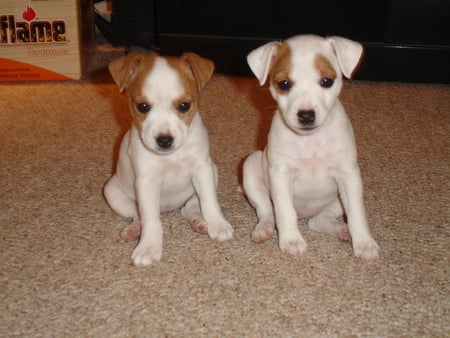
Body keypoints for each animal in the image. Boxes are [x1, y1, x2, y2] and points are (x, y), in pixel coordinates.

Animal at [103, 52, 234, 266]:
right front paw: (149, 247)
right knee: (138, 216)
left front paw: (218, 224)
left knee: (190, 208)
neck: (172, 156)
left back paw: (200, 222)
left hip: (212, 173)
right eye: (142, 107)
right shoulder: (147, 182)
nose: (164, 140)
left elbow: (209, 202)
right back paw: (133, 230)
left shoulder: (202, 169)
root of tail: (167, 208)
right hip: (113, 193)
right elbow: (150, 220)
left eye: (184, 106)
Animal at [243, 34, 380, 260]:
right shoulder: (280, 174)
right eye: (284, 84)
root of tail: (305, 214)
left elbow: (356, 214)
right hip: (251, 167)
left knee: (318, 220)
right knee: (267, 211)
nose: (306, 115)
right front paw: (291, 241)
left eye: (326, 81)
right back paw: (263, 229)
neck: (310, 141)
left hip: (338, 199)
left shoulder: (348, 176)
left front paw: (365, 243)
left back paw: (343, 231)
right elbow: (285, 211)